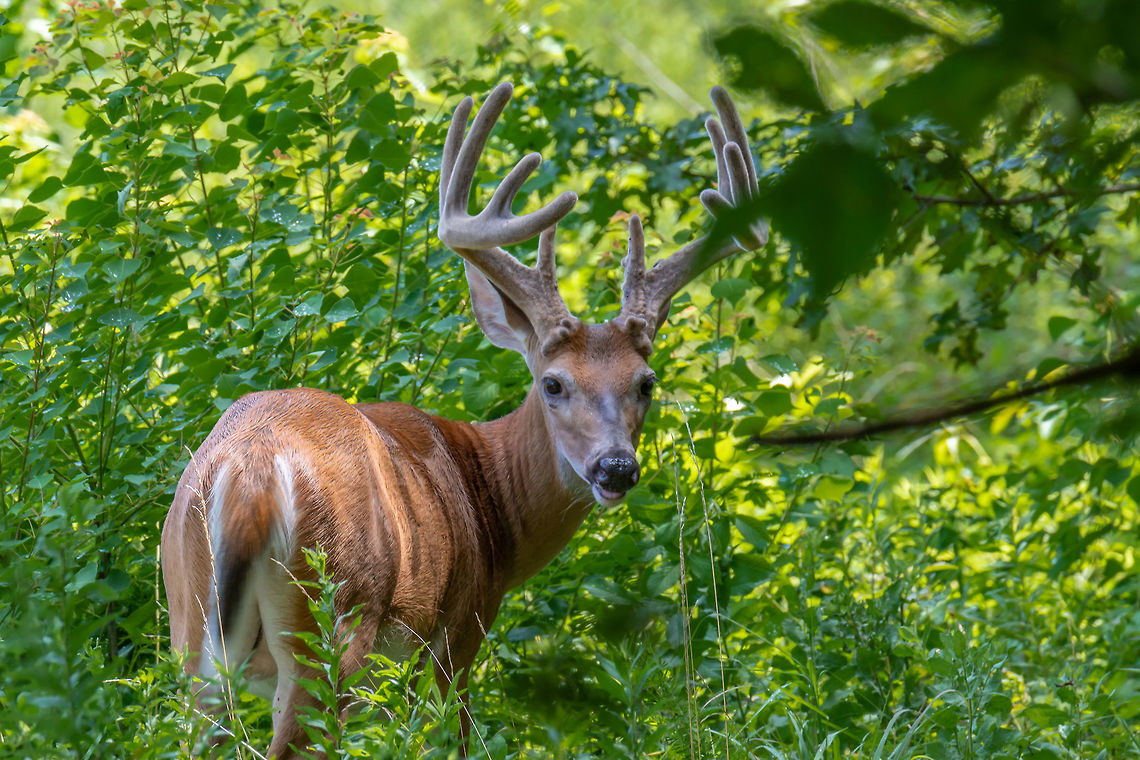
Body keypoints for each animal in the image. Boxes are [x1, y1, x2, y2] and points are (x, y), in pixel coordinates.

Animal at [161, 80, 768, 759]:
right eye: (553, 383)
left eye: (646, 382)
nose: (616, 467)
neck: (490, 500)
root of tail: (251, 473)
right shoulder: (459, 630)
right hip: (335, 620)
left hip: (191, 624)